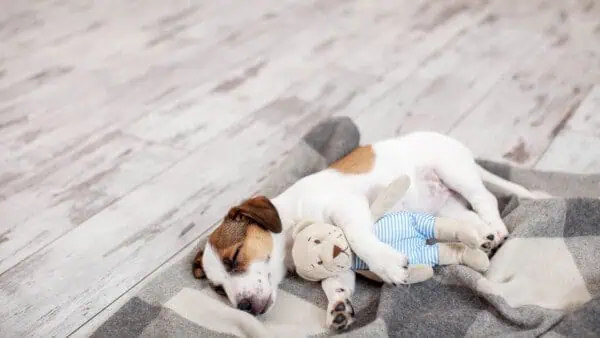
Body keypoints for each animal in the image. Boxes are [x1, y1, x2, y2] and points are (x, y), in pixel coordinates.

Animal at [192, 131, 540, 328]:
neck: (291, 222)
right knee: (467, 217)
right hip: (446, 205)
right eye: (218, 289)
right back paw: (484, 238)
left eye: (234, 258)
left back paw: (496, 229)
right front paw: (338, 308)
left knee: (486, 198)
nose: (244, 308)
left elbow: (358, 238)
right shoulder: (337, 267)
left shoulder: (347, 207)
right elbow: (336, 285)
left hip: (452, 171)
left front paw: (386, 265)